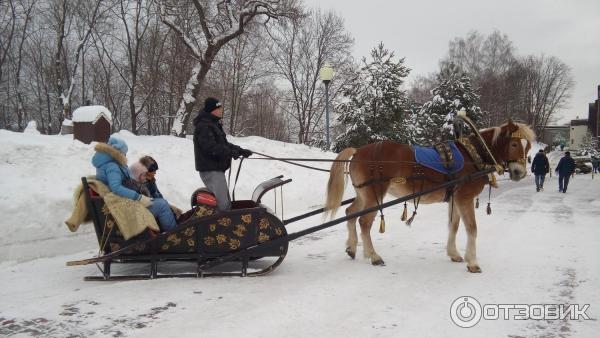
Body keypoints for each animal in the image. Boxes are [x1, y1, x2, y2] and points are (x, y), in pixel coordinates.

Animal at [324, 121, 536, 272]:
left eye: (527, 147)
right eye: (514, 143)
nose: (519, 173)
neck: (474, 155)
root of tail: (358, 151)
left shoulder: (455, 199)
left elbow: (454, 225)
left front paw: (454, 253)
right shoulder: (465, 198)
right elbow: (472, 228)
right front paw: (473, 262)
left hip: (364, 194)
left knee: (350, 213)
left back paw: (352, 248)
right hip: (375, 195)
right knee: (364, 222)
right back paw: (374, 256)